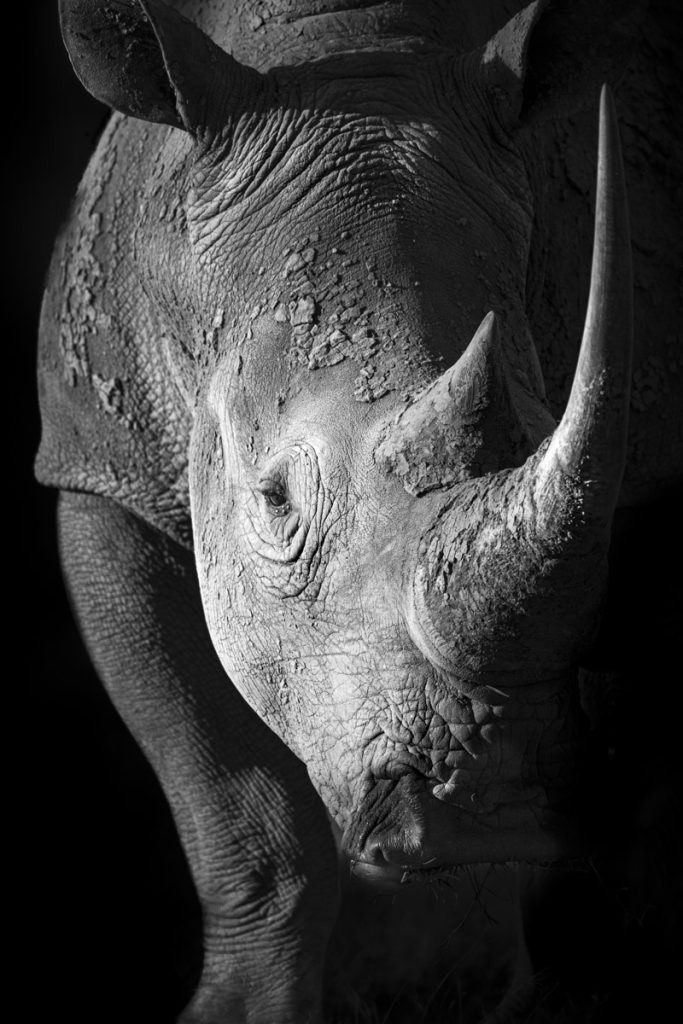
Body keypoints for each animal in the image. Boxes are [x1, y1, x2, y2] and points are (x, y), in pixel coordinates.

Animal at [36, 0, 680, 1021]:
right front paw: (239, 1013)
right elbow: (229, 800)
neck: (342, 42)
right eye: (273, 501)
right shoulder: (97, 464)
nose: (488, 817)